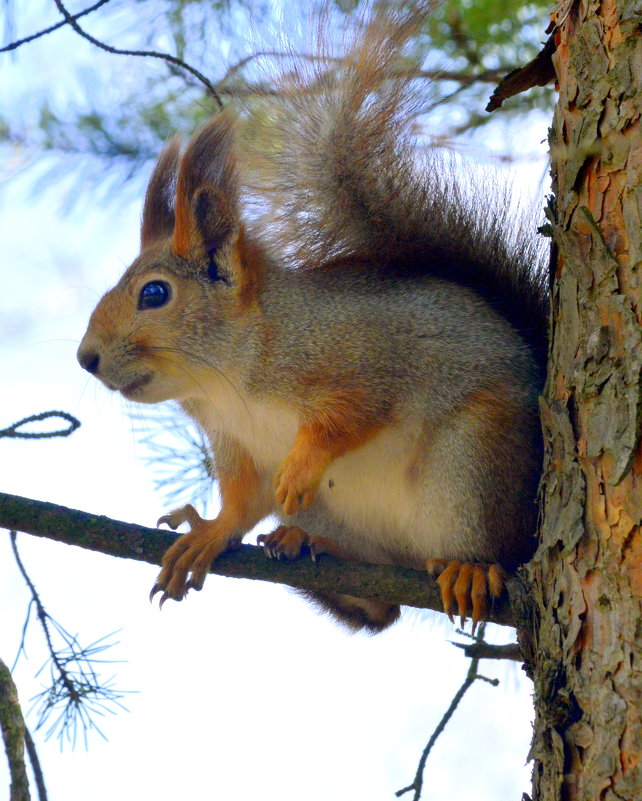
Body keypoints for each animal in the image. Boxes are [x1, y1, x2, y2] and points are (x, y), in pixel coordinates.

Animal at [75, 4, 544, 632]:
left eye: (154, 293)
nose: (87, 358)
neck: (228, 374)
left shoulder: (361, 354)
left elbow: (354, 413)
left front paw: (301, 465)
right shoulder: (235, 445)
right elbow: (243, 500)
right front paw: (209, 534)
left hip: (472, 465)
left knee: (484, 551)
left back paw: (469, 568)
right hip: (350, 520)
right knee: (382, 607)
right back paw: (307, 546)